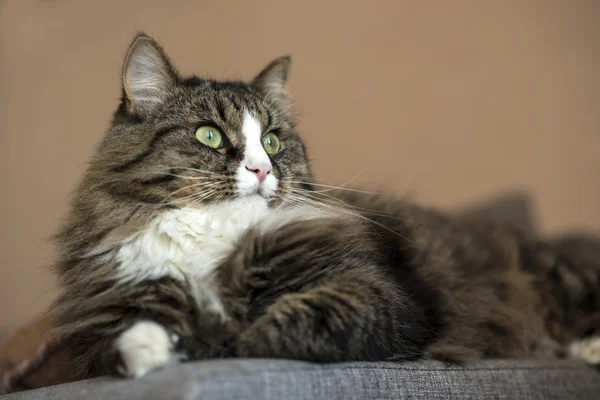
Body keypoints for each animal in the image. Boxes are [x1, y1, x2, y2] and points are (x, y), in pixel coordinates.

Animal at [50, 33, 600, 378]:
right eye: (209, 136)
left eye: (272, 141)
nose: (262, 170)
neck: (215, 242)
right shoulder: (111, 316)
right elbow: (142, 334)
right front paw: (149, 349)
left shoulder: (379, 294)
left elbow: (272, 327)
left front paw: (216, 341)